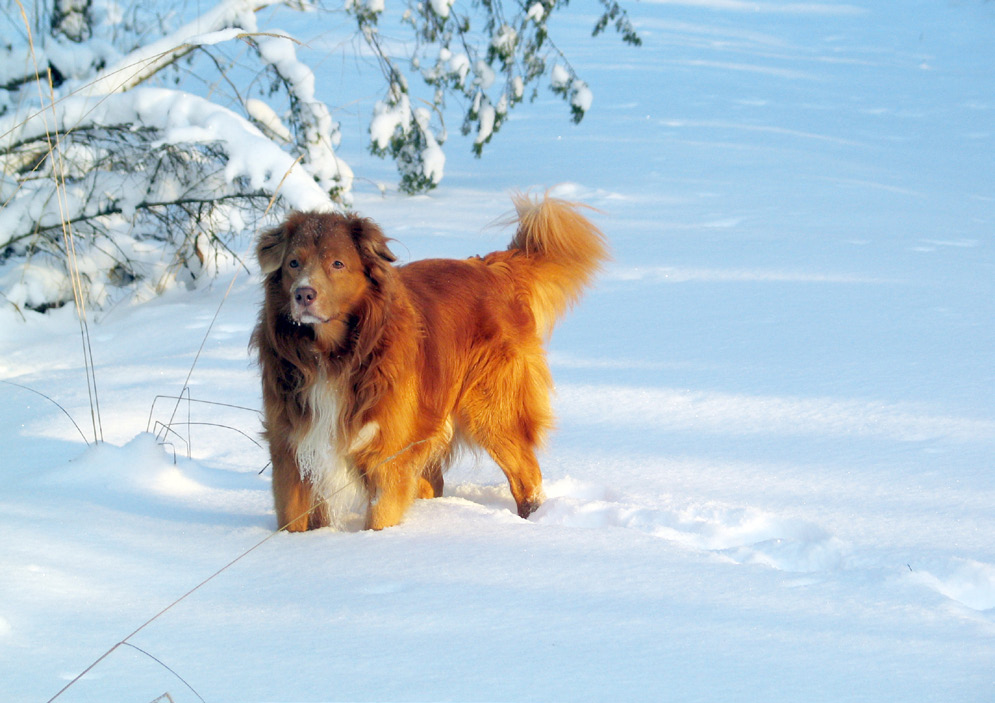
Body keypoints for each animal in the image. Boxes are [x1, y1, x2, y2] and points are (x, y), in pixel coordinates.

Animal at [251, 195, 608, 532]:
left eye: (337, 263)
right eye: (293, 263)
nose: (303, 294)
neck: (332, 355)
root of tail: (492, 268)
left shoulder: (388, 453)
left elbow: (380, 517)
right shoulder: (291, 448)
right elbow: (293, 519)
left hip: (490, 410)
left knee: (526, 475)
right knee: (434, 482)